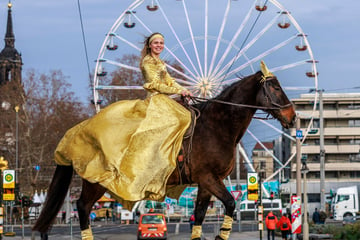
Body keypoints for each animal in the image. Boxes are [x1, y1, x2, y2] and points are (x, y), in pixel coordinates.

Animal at [32, 68, 296, 239]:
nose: (293, 116)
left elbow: (200, 215)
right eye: (274, 87)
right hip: (96, 180)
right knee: (83, 207)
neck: (217, 126)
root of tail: (79, 129)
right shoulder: (209, 177)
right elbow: (231, 203)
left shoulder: (207, 181)